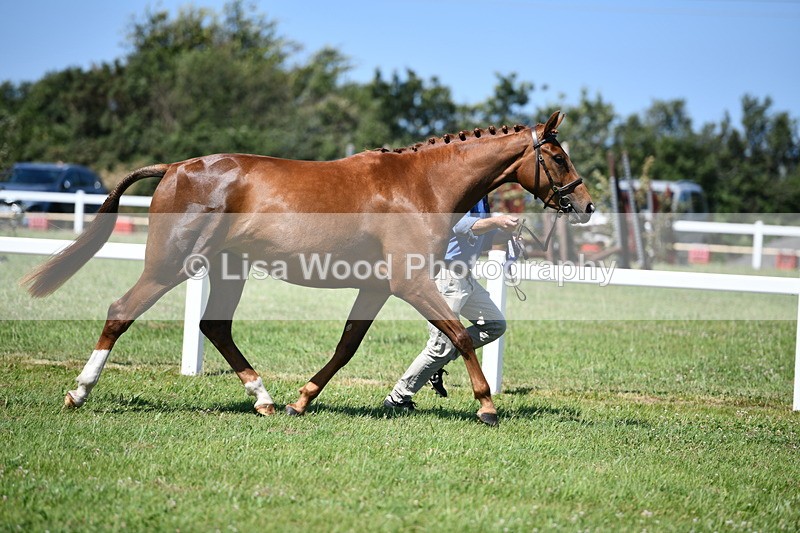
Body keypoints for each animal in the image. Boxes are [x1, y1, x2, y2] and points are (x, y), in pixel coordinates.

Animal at [22, 111, 594, 426]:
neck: (421, 185)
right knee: (121, 311)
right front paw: (486, 406)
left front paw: (303, 400)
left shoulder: (378, 287)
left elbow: (347, 346)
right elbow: (455, 332)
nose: (586, 205)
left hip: (227, 270)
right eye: (558, 157)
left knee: (215, 326)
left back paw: (265, 400)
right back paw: (79, 392)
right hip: (170, 266)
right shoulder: (410, 282)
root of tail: (175, 167)